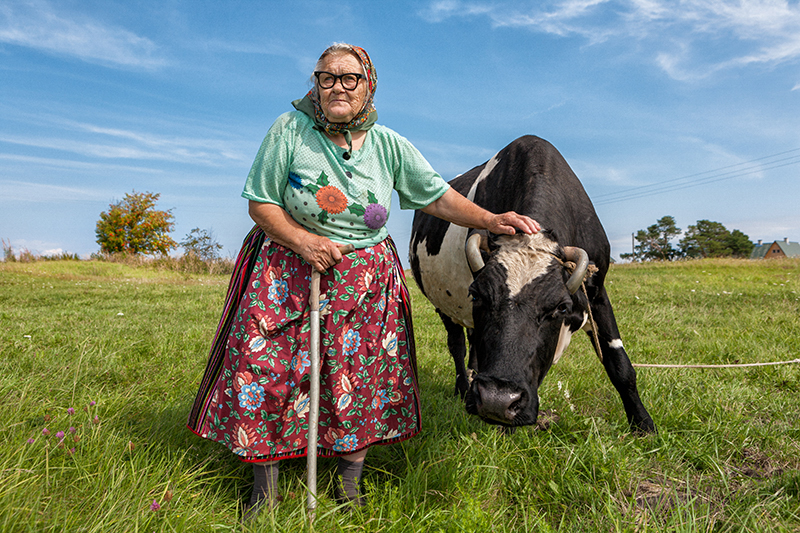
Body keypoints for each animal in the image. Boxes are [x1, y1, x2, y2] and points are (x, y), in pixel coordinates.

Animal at [409, 135, 655, 434]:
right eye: (477, 295)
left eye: (561, 308)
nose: (497, 399)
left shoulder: (597, 292)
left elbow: (619, 363)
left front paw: (643, 425)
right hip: (442, 305)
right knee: (457, 344)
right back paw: (462, 387)